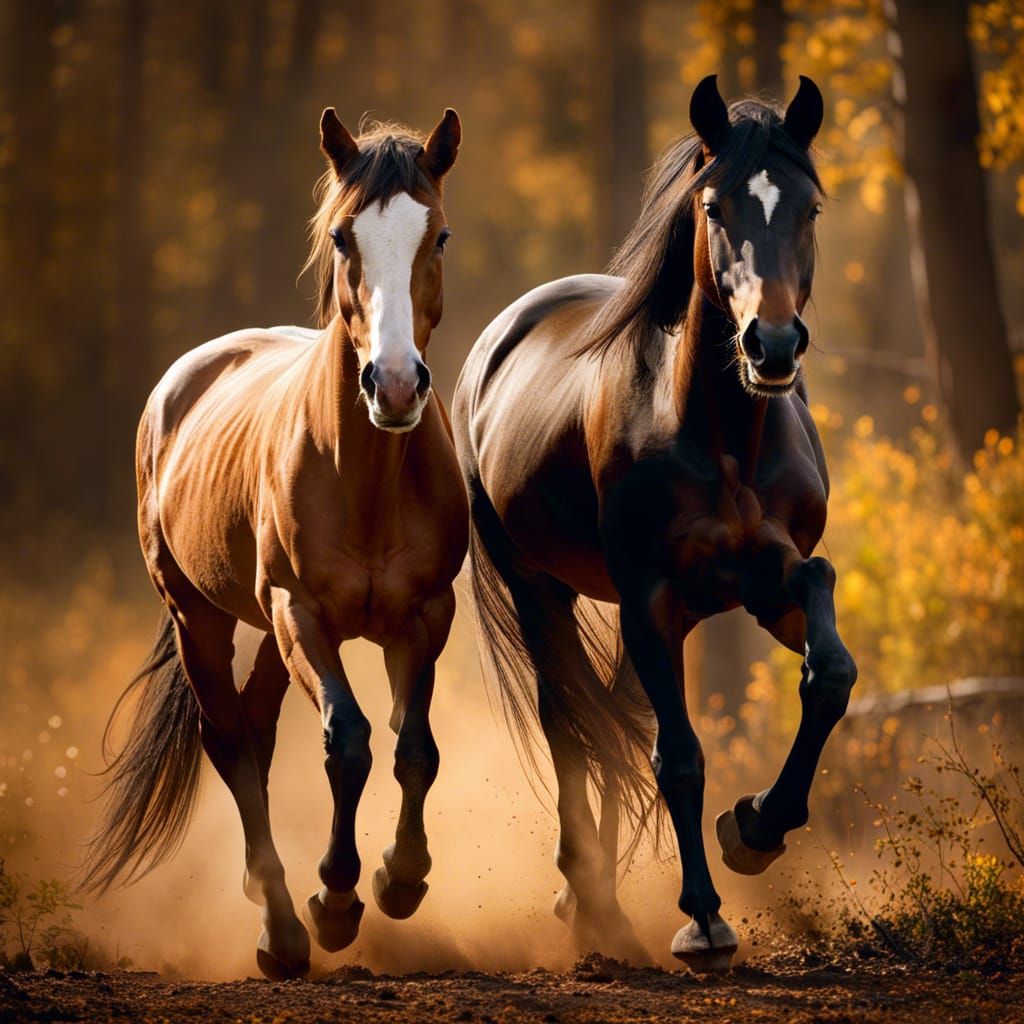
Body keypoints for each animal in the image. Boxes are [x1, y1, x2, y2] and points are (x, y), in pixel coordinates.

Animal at [83, 107, 468, 981]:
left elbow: (415, 749)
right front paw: (338, 899)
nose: (396, 384)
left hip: (265, 633)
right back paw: (285, 929)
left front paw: (401, 878)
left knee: (255, 734)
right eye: (342, 236)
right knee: (228, 740)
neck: (366, 477)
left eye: (437, 235)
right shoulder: (302, 613)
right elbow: (349, 743)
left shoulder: (426, 617)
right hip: (204, 617)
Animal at [453, 74, 857, 971]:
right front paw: (703, 919)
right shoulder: (647, 596)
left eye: (810, 206)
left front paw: (756, 828)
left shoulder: (762, 582)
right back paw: (596, 903)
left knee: (609, 715)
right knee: (570, 720)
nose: (772, 345)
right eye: (713, 206)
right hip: (542, 588)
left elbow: (830, 669)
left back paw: (590, 896)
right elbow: (675, 756)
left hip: (672, 613)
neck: (721, 434)